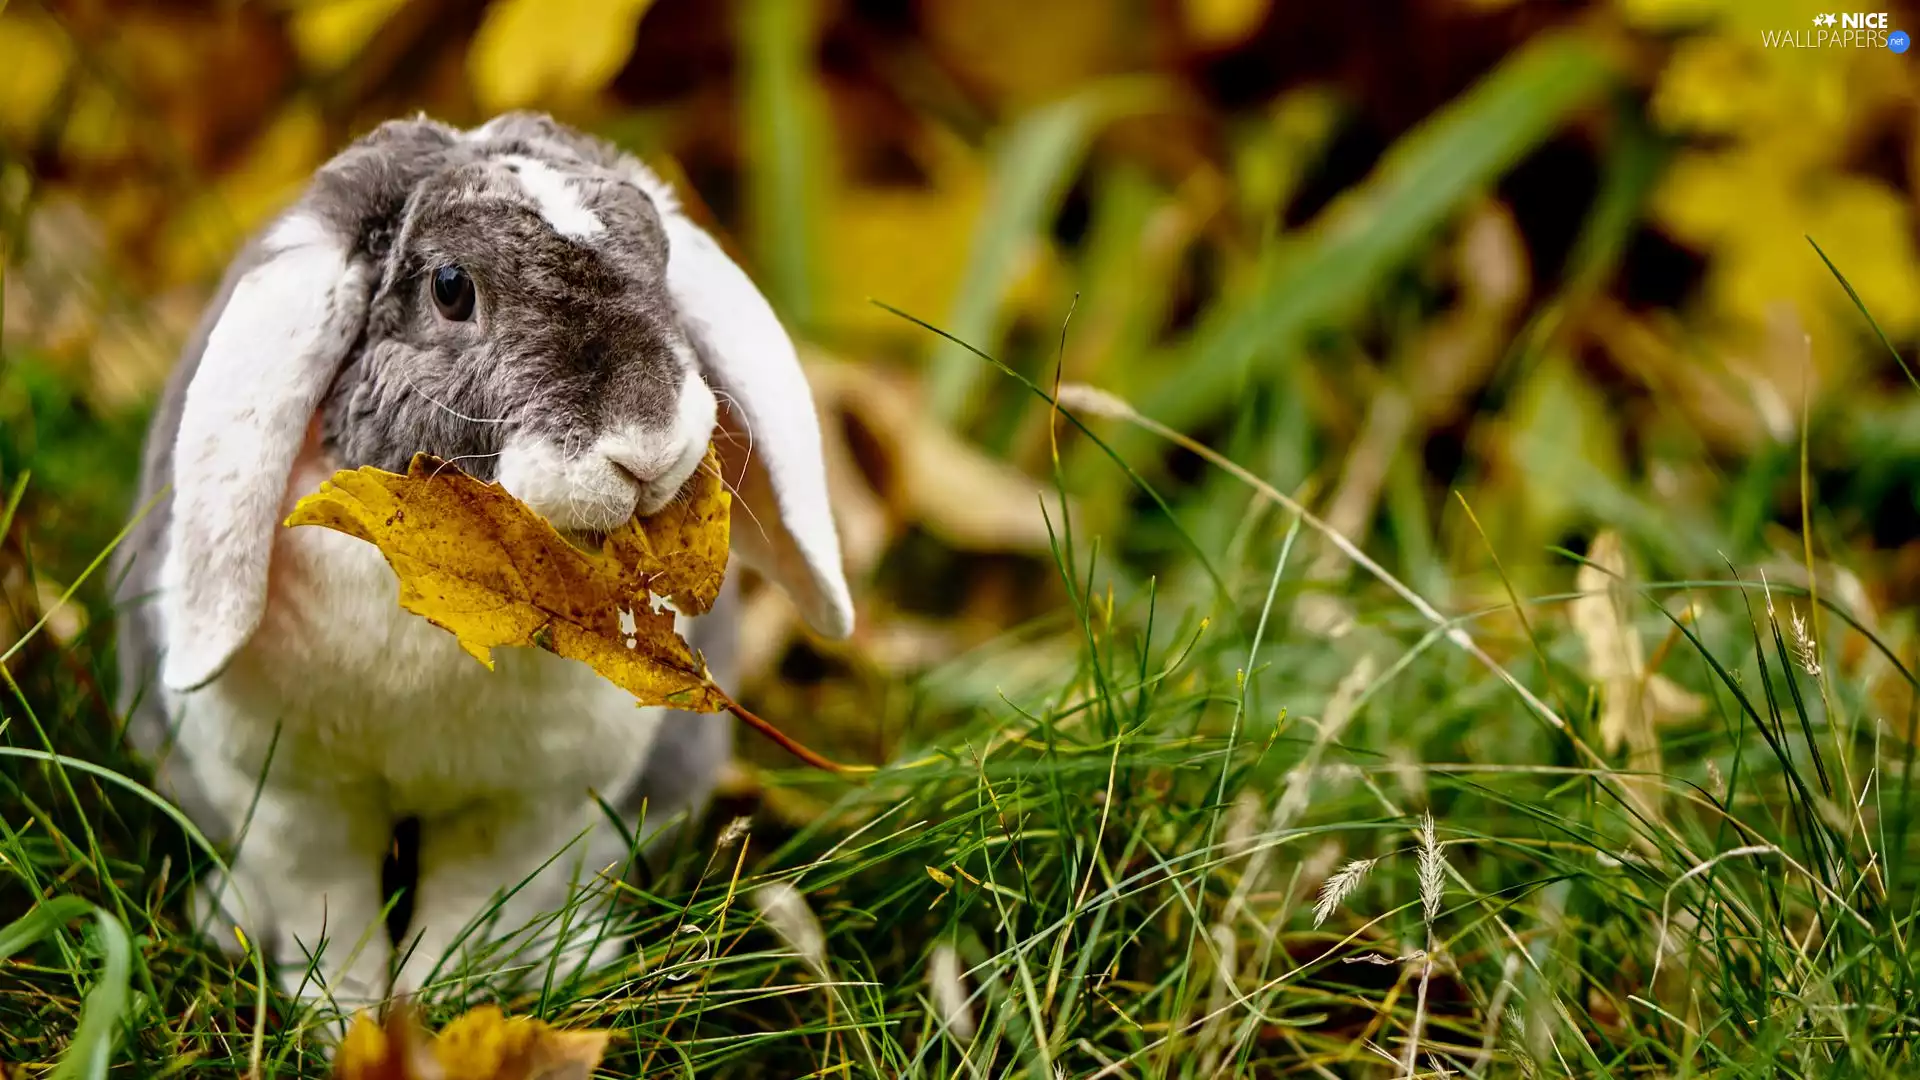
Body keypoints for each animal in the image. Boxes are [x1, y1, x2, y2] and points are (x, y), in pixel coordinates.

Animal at [110, 112, 855, 1015]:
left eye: (661, 259)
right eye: (451, 286)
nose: (649, 448)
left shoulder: (536, 807)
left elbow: (477, 910)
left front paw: (434, 1005)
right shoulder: (289, 796)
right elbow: (326, 911)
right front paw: (342, 1014)